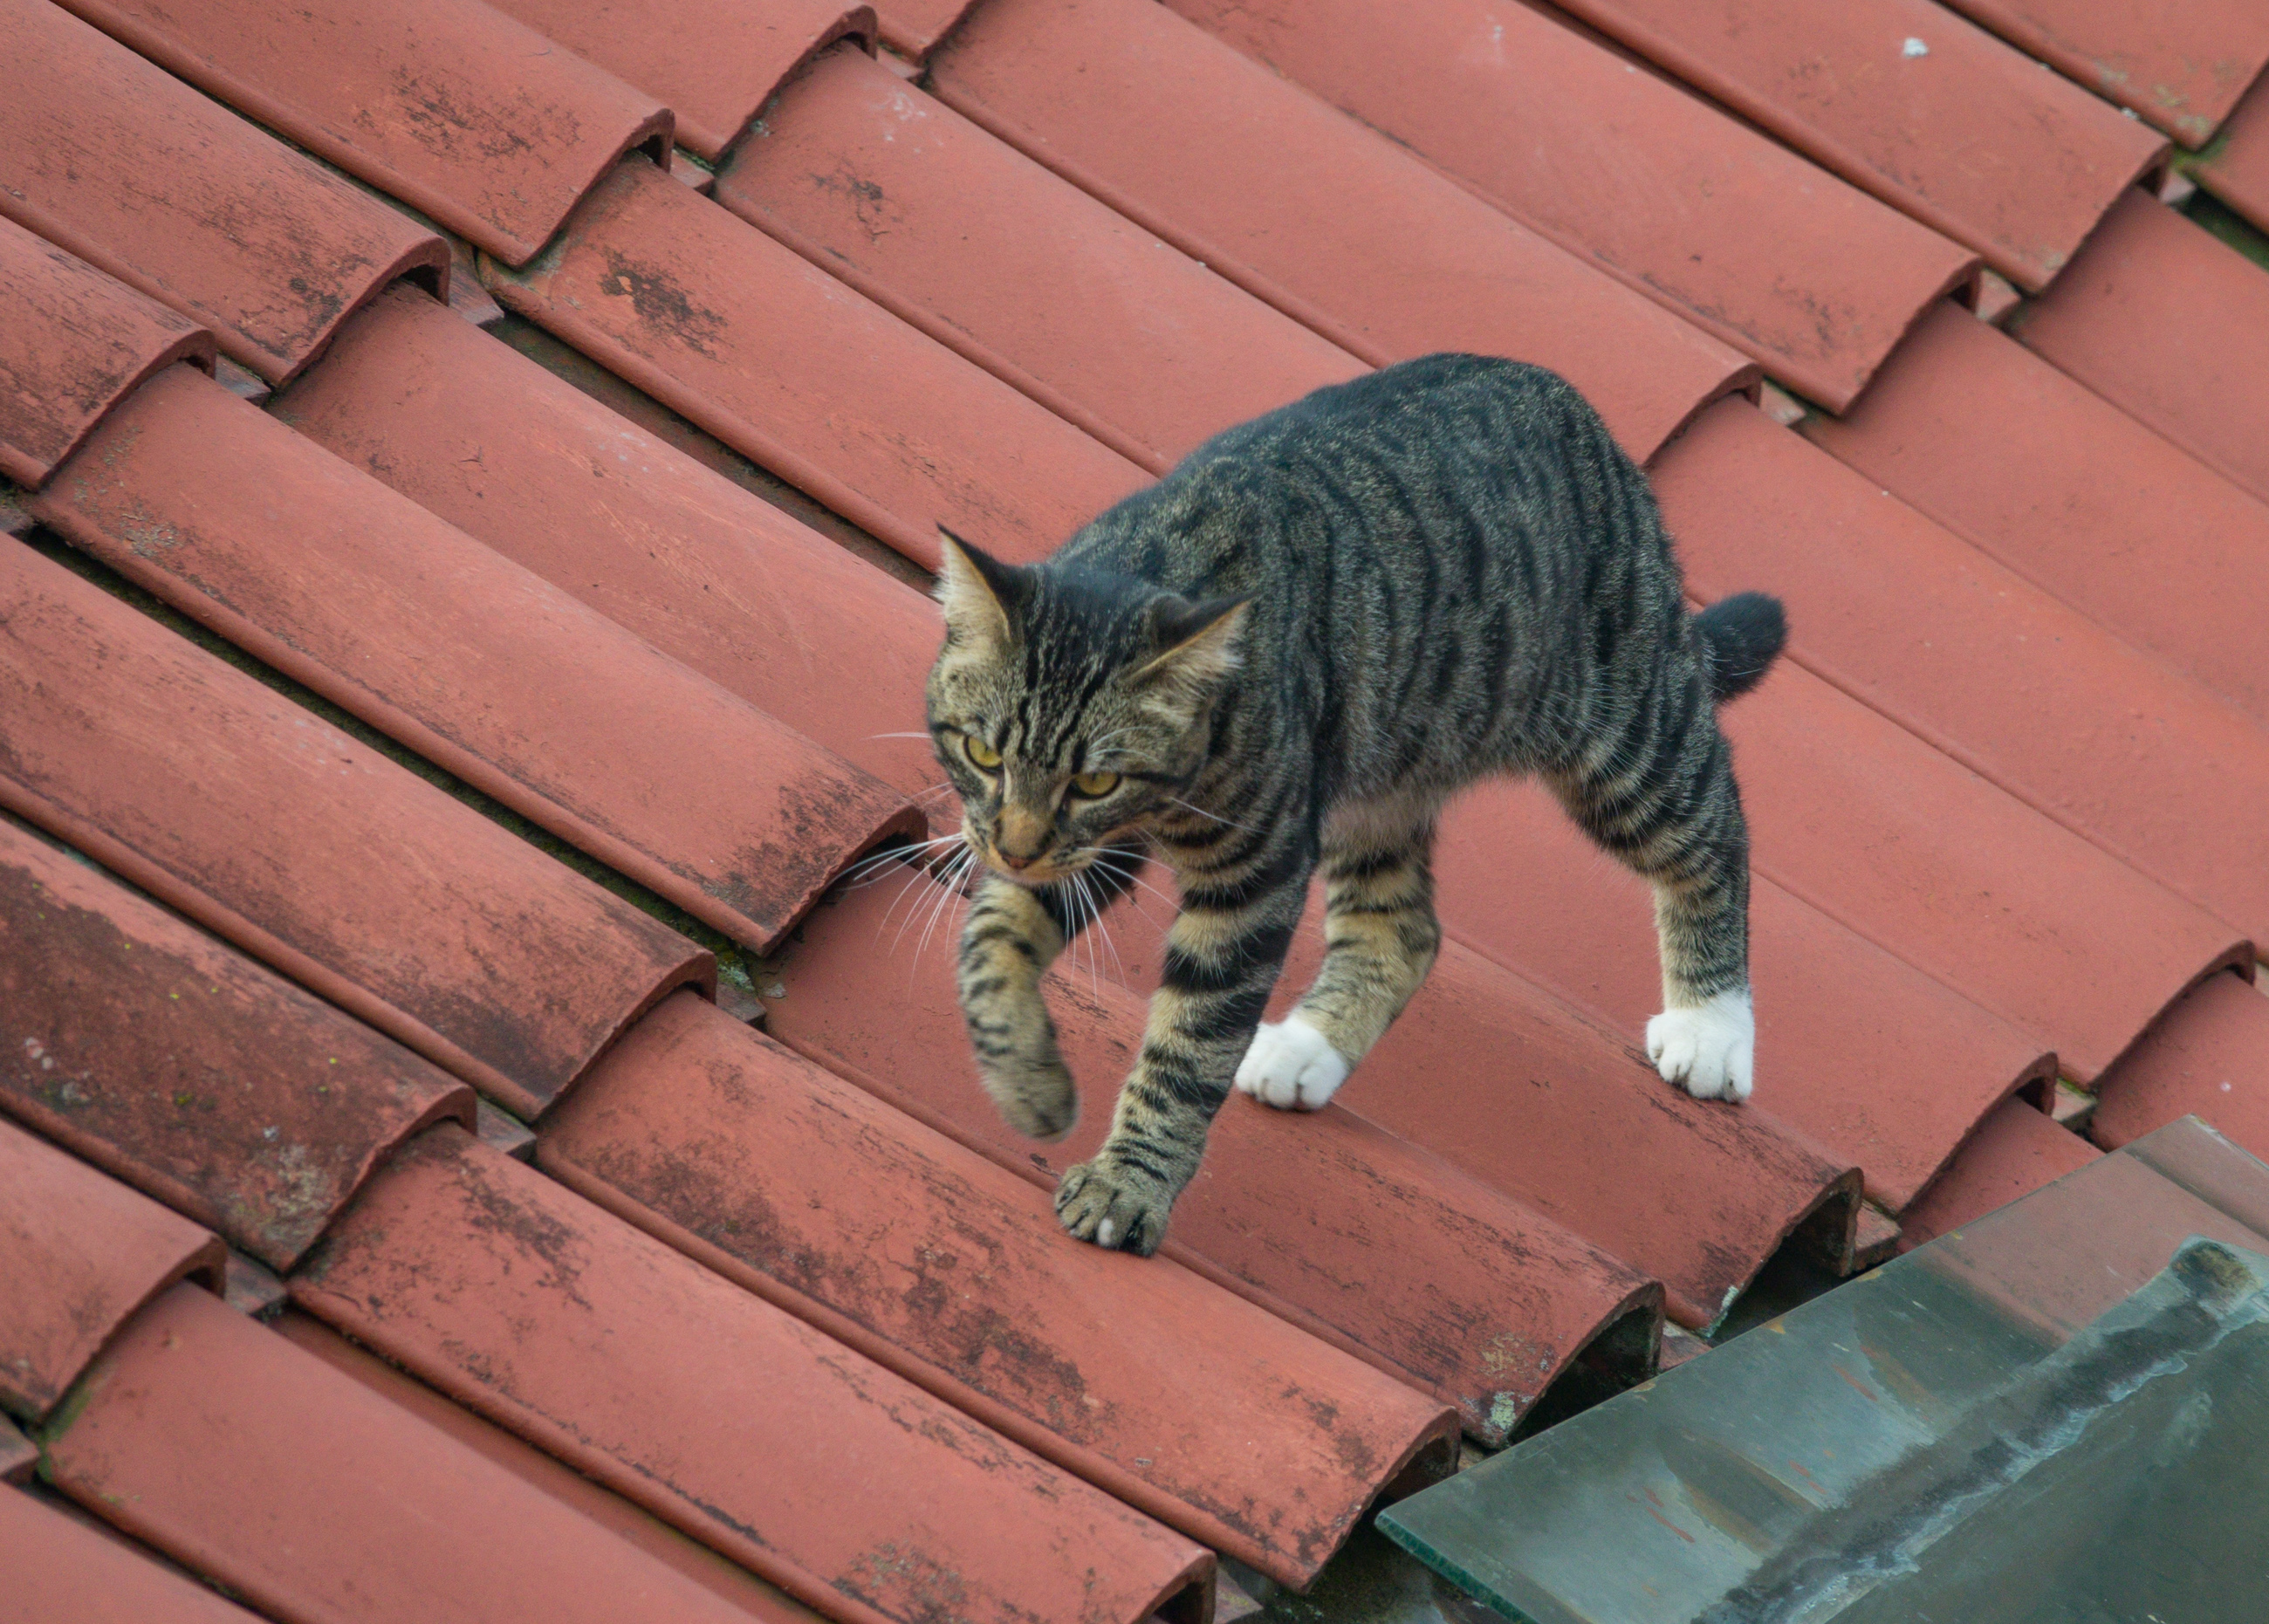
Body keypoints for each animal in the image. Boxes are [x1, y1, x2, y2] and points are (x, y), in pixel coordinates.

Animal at [925, 356, 1787, 1251]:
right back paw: (1310, 1046)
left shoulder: (1250, 869)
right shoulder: (1082, 843)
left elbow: (1192, 1043)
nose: (1014, 847)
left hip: (1621, 732)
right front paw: (1029, 1080)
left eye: (1097, 780)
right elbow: (992, 940)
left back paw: (1713, 1023)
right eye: (982, 753)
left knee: (1714, 825)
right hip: (1377, 775)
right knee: (1404, 929)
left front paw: (1130, 1181)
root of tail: (1599, 440)